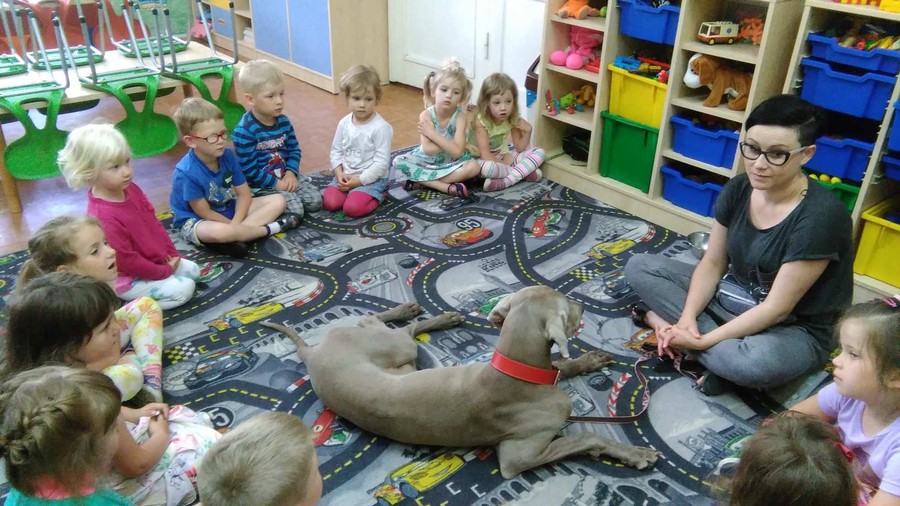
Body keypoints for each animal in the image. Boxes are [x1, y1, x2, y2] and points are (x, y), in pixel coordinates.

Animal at [261, 286, 658, 478]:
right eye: (566, 305)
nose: (583, 306)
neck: (518, 372)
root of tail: (312, 354)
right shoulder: (517, 456)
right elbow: (587, 438)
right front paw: (635, 454)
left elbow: (563, 365)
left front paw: (588, 360)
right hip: (395, 346)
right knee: (392, 326)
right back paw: (416, 312)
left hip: (404, 361)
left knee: (375, 322)